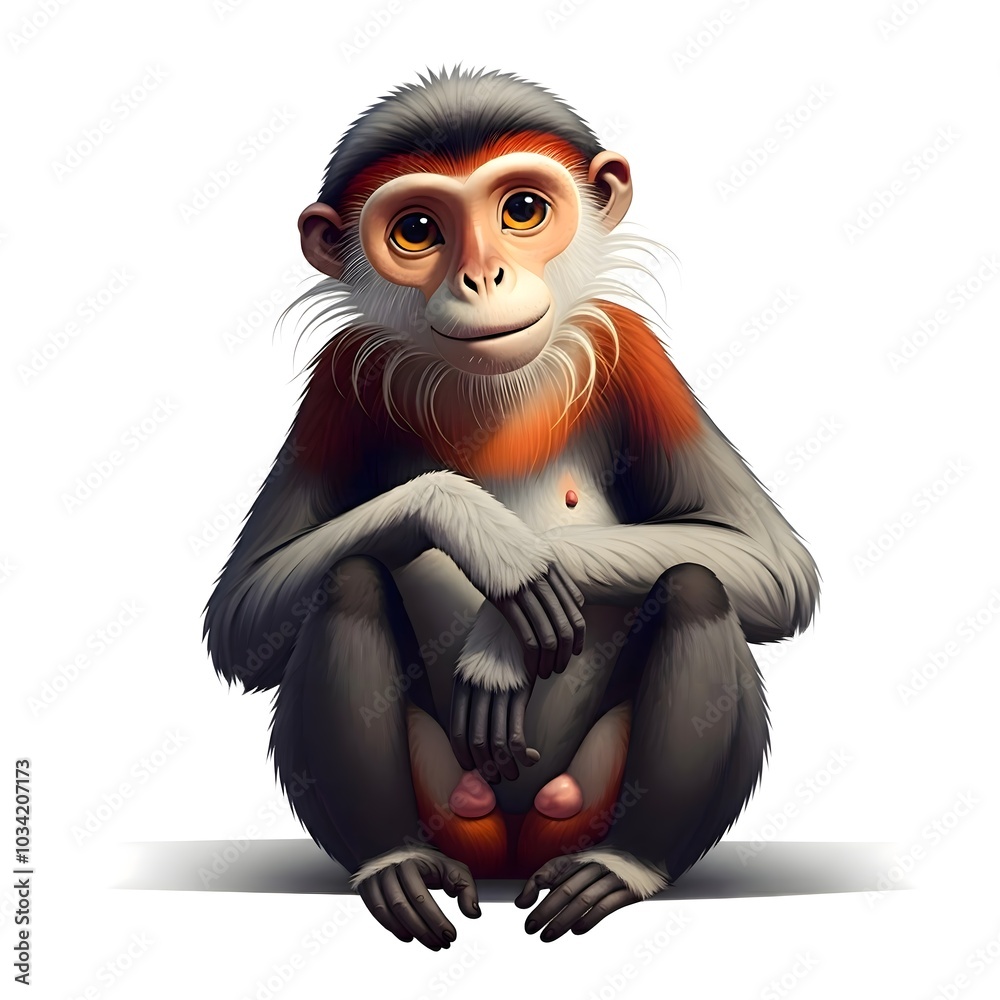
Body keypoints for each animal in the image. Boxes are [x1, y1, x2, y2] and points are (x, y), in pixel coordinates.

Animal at [204, 67, 819, 949]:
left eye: (522, 211)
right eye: (419, 230)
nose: (483, 277)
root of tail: (512, 857)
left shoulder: (637, 353)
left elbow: (774, 566)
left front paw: (502, 633)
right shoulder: (337, 382)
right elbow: (243, 620)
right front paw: (491, 542)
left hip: (585, 798)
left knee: (698, 585)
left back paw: (623, 867)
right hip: (450, 806)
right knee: (347, 578)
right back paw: (396, 863)